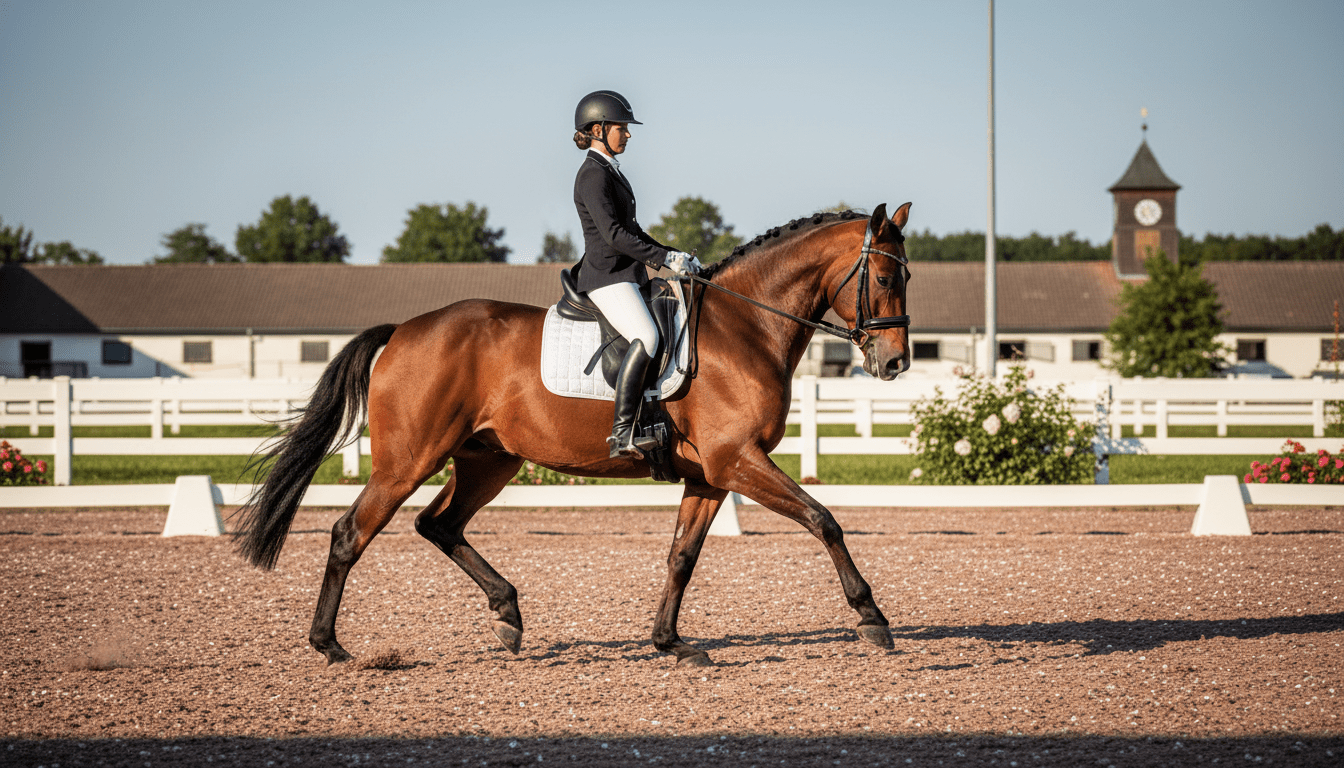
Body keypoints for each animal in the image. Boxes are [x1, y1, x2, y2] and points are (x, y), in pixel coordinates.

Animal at [235, 202, 913, 667]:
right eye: (885, 280)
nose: (895, 364)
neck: (746, 325)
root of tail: (404, 329)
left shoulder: (711, 475)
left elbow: (682, 557)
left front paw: (669, 642)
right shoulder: (737, 461)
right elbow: (824, 520)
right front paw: (872, 617)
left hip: (488, 461)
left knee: (439, 524)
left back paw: (508, 614)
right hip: (408, 461)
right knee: (352, 532)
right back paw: (330, 645)